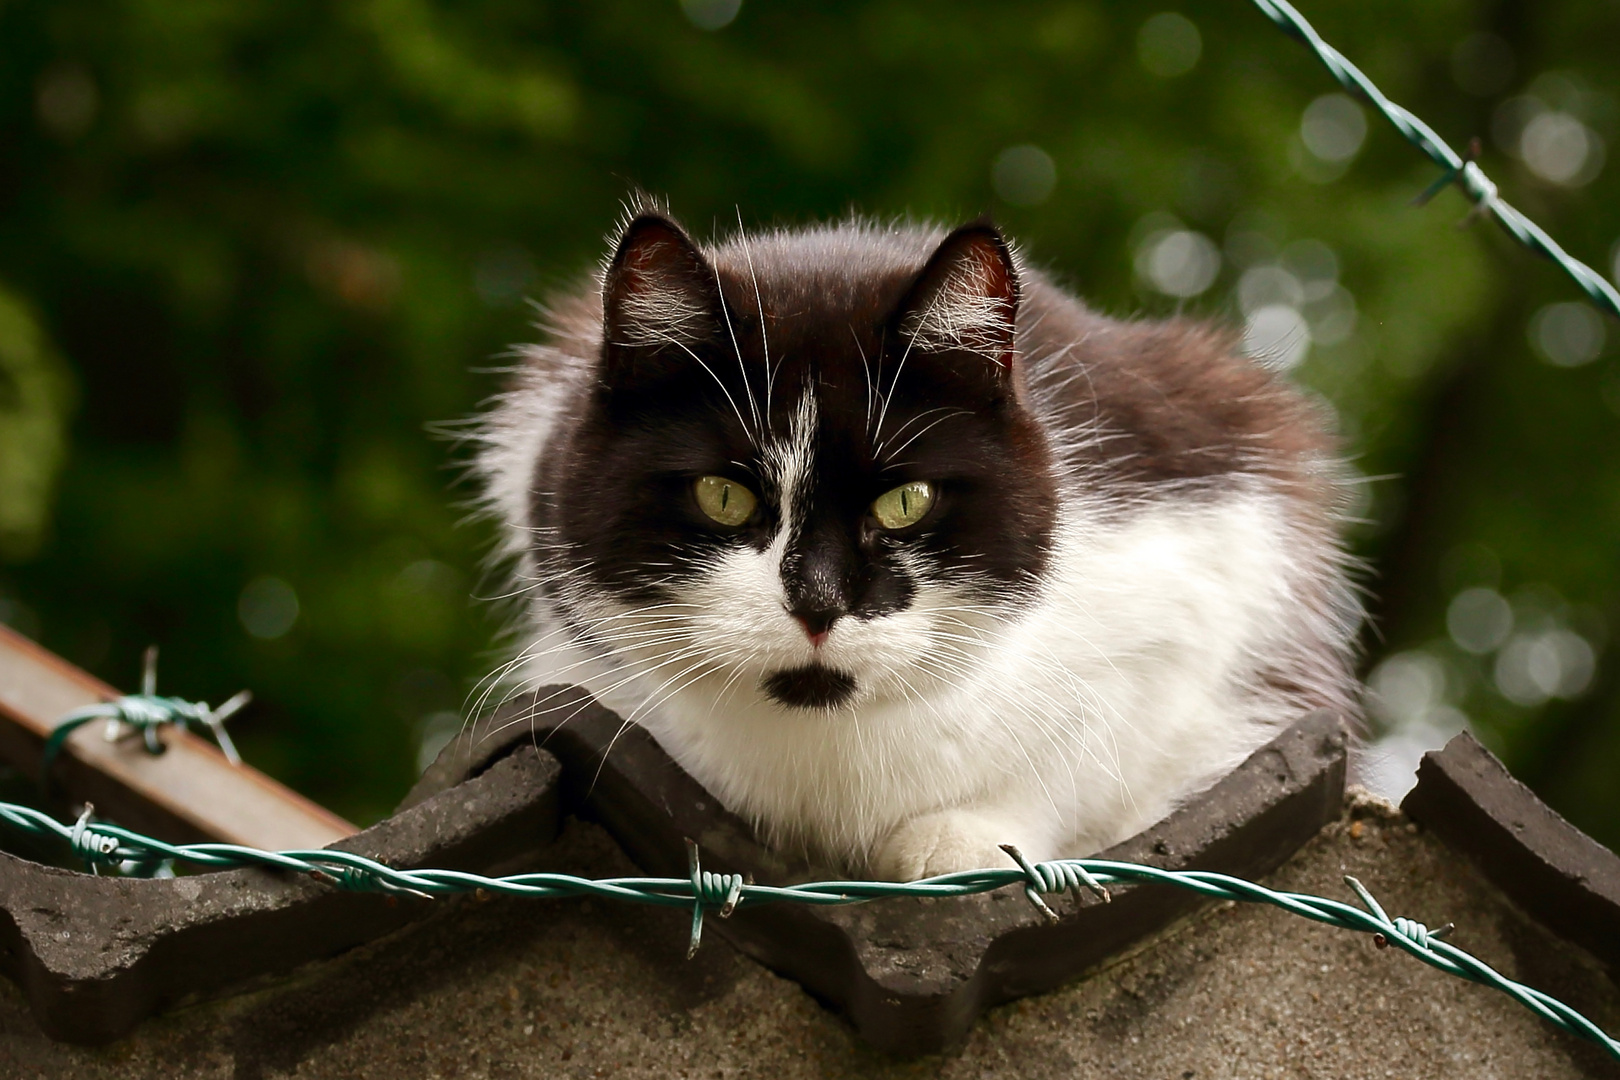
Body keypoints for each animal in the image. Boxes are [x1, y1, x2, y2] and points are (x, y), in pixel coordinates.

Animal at [473, 200, 1360, 880]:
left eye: (907, 501)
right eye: (723, 496)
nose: (818, 601)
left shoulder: (1209, 546)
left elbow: (1099, 738)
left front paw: (963, 839)